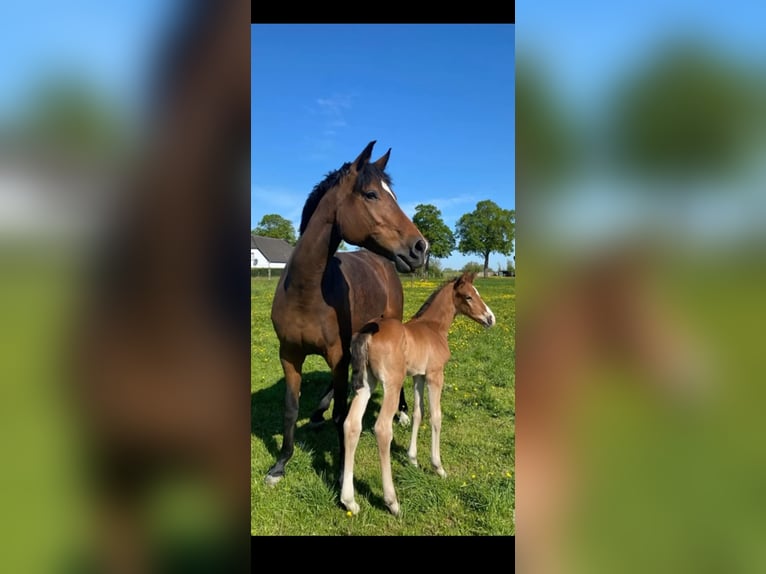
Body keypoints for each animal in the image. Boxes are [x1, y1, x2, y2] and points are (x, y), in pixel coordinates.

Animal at [265, 140, 428, 486]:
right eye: (371, 194)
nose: (421, 248)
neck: (306, 291)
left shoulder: (335, 355)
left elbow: (341, 415)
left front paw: (341, 472)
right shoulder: (289, 355)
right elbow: (290, 408)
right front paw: (280, 464)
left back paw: (402, 412)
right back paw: (318, 412)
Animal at [340, 272, 496, 516]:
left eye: (477, 293)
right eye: (469, 296)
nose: (490, 319)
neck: (434, 328)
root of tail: (368, 332)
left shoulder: (418, 377)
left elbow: (417, 413)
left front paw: (412, 459)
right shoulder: (434, 375)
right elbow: (436, 417)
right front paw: (438, 467)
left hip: (366, 384)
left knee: (351, 425)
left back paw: (349, 501)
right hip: (392, 384)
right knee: (382, 429)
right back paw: (392, 502)